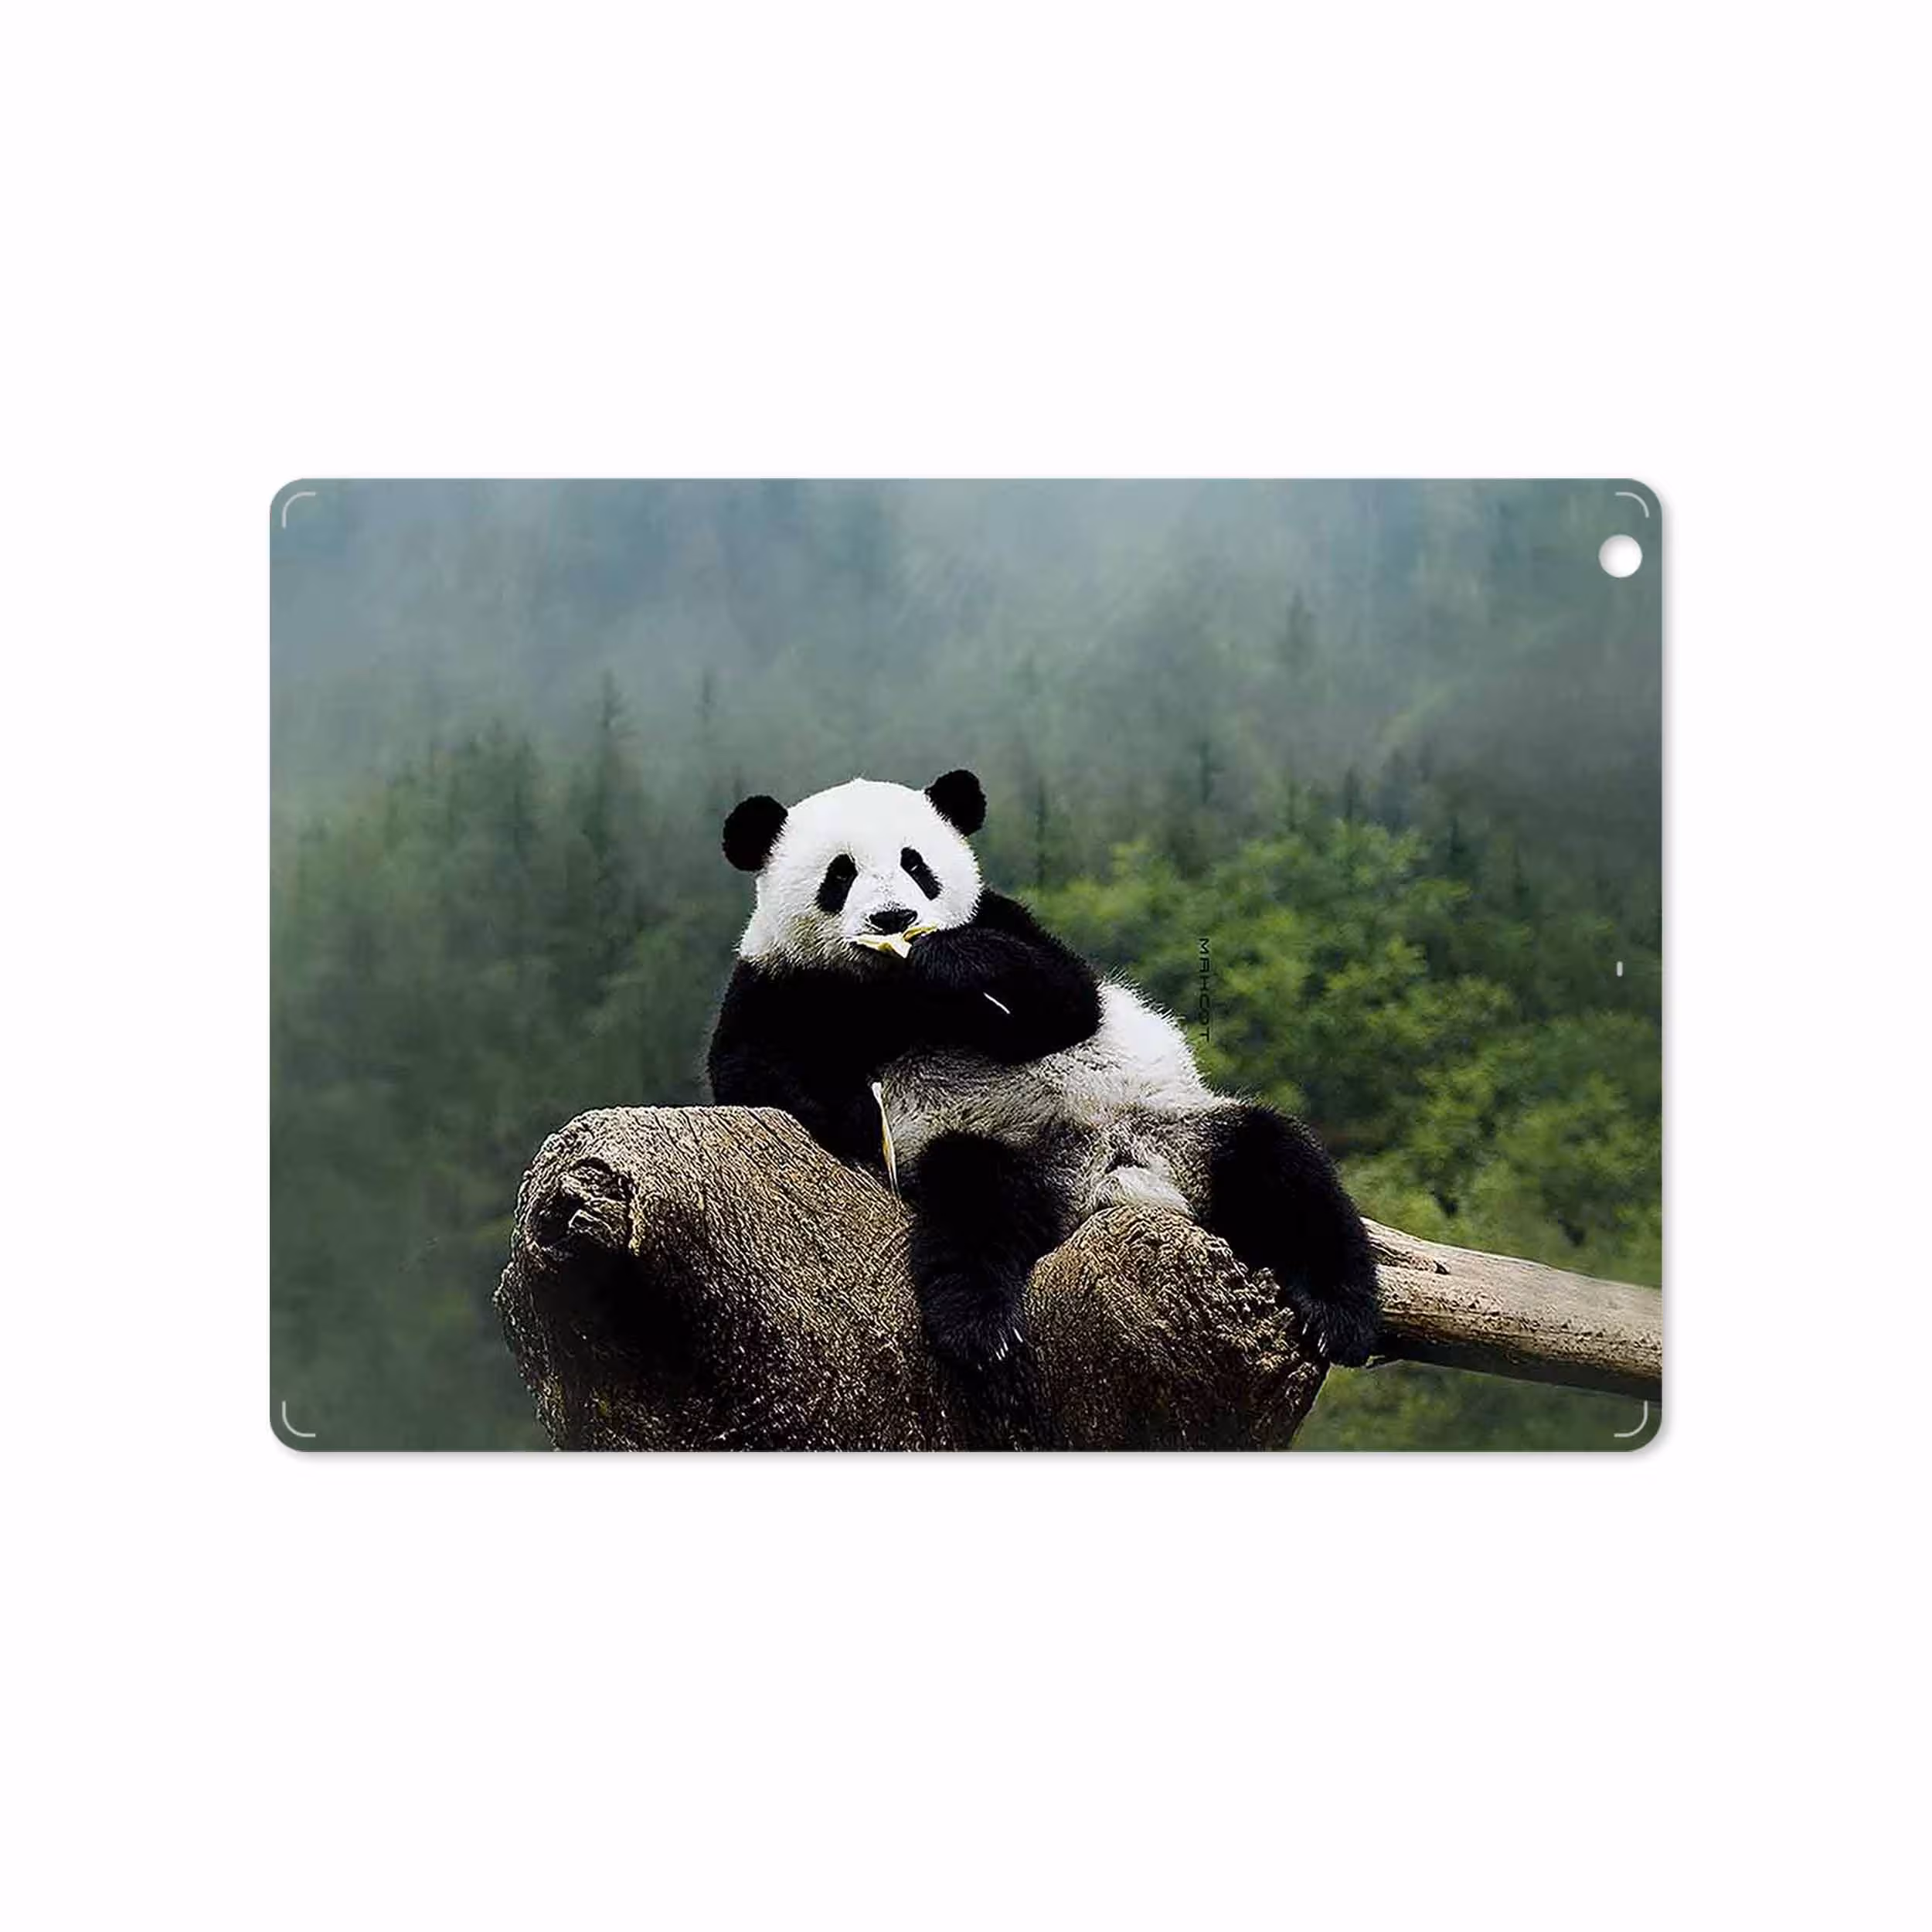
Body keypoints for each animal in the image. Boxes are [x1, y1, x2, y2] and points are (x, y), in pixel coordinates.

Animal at [706, 768, 1381, 1374]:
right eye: (840, 875)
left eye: (916, 865)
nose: (894, 919)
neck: (889, 989)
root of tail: (1106, 1175)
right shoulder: (776, 981)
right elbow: (748, 1071)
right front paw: (855, 1113)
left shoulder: (1003, 920)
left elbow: (1068, 999)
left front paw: (950, 961)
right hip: (1000, 1150)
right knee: (974, 1205)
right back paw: (979, 1328)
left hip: (1179, 1129)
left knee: (1283, 1165)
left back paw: (1339, 1316)